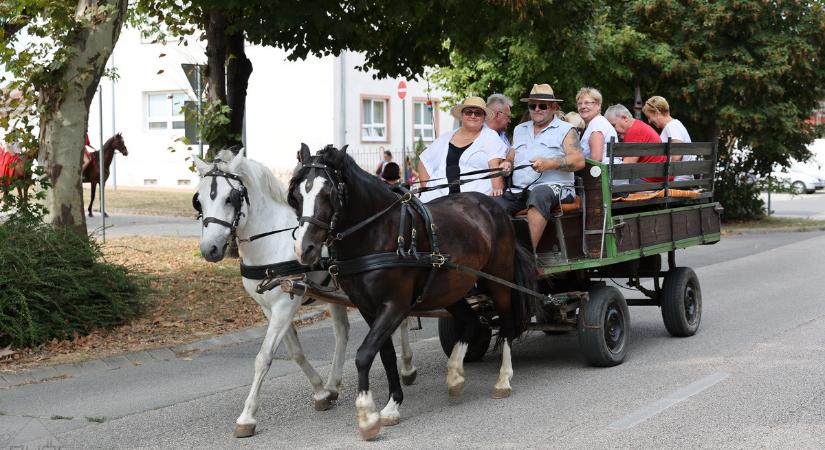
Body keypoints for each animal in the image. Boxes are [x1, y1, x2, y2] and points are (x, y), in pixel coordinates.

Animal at [193, 149, 418, 438]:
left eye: (230, 198)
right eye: (199, 200)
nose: (210, 249)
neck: (271, 241)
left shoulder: (285, 305)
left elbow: (263, 357)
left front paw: (247, 417)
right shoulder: (269, 308)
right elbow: (295, 353)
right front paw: (321, 391)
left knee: (400, 321)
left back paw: (408, 367)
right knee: (342, 332)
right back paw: (333, 384)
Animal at [286, 146, 536, 442]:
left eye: (329, 194)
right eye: (296, 196)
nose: (305, 250)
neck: (377, 233)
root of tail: (491, 205)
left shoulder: (394, 305)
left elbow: (363, 354)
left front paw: (367, 415)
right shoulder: (368, 308)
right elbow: (384, 354)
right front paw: (392, 405)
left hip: (499, 280)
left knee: (507, 324)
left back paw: (503, 380)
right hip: (451, 288)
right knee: (470, 322)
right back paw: (455, 376)